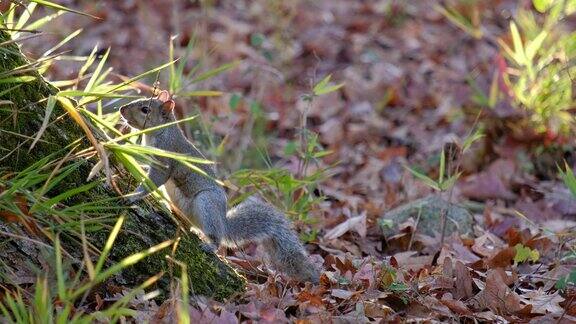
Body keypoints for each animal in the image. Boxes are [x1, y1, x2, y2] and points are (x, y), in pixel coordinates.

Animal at [119, 91, 322, 284]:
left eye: (145, 109)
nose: (121, 109)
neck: (160, 132)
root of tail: (224, 224)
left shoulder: (165, 158)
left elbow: (155, 179)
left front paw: (133, 195)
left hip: (206, 203)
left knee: (216, 237)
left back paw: (209, 245)